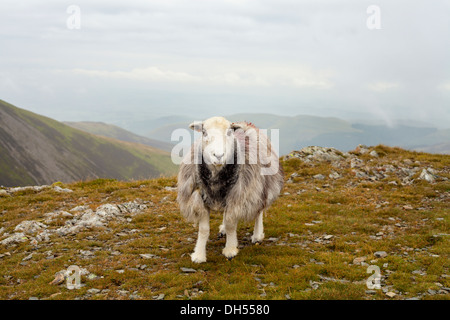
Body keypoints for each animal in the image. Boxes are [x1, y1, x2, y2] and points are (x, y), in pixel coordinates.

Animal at [178, 115, 284, 262]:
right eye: (204, 132)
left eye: (229, 133)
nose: (218, 155)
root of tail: (245, 123)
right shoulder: (200, 198)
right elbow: (204, 229)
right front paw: (199, 255)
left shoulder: (238, 197)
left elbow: (231, 224)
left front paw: (230, 249)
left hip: (259, 187)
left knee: (258, 211)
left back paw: (257, 235)